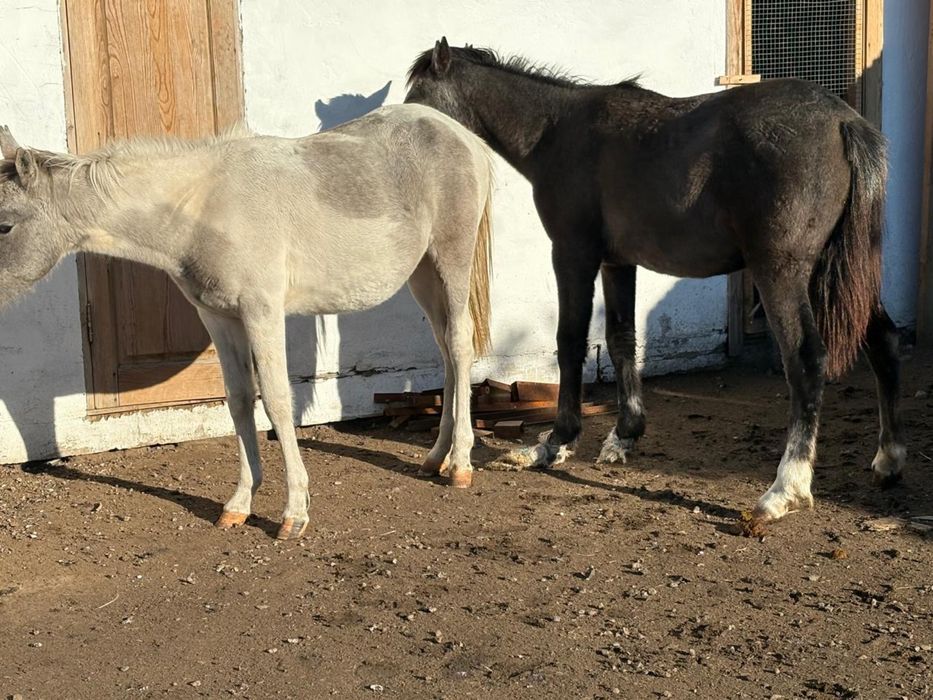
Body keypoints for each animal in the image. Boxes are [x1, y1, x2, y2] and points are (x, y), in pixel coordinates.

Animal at [0, 103, 494, 539]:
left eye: (4, 225)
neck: (203, 207)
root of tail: (460, 134)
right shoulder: (219, 318)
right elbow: (238, 400)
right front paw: (239, 504)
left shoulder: (262, 312)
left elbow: (276, 401)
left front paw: (294, 514)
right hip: (422, 274)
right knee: (446, 353)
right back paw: (436, 457)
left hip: (450, 260)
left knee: (459, 344)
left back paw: (461, 466)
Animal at [406, 38, 904, 527]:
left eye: (419, 100)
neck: (557, 132)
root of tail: (842, 121)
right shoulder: (617, 262)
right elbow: (621, 338)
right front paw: (624, 435)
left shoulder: (573, 254)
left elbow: (569, 341)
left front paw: (555, 443)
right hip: (839, 271)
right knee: (882, 339)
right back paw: (888, 460)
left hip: (782, 273)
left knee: (806, 359)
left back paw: (785, 490)